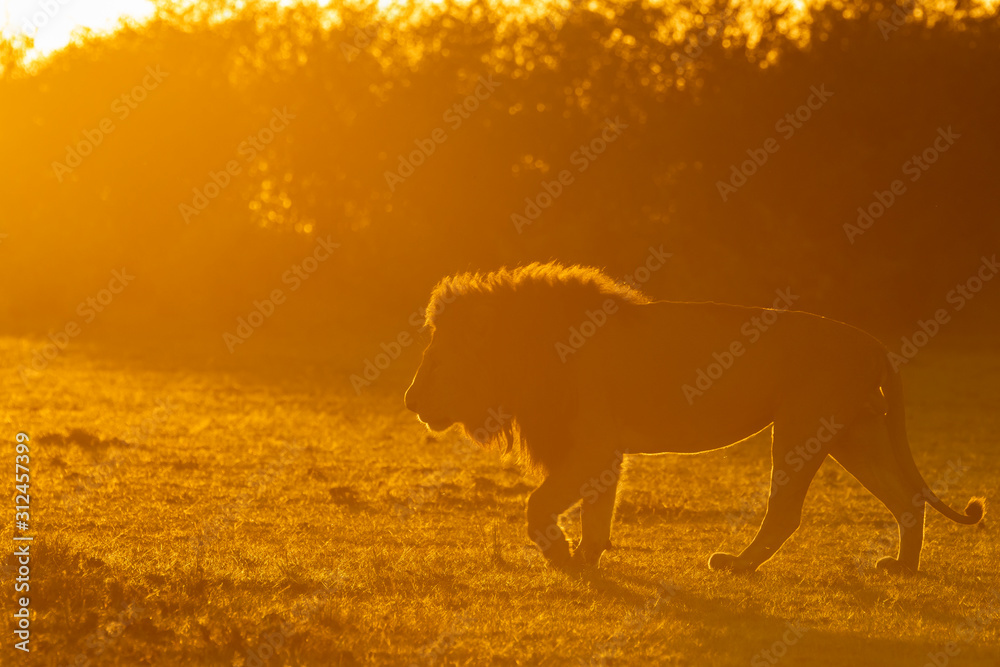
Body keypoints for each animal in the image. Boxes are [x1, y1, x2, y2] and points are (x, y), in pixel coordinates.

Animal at [404, 261, 985, 573]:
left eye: (439, 359)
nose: (409, 401)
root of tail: (872, 342)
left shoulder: (591, 445)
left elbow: (538, 504)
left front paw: (563, 555)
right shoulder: (603, 451)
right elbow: (595, 511)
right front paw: (587, 557)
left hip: (802, 425)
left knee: (786, 512)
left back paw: (739, 565)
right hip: (853, 432)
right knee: (906, 498)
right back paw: (903, 568)